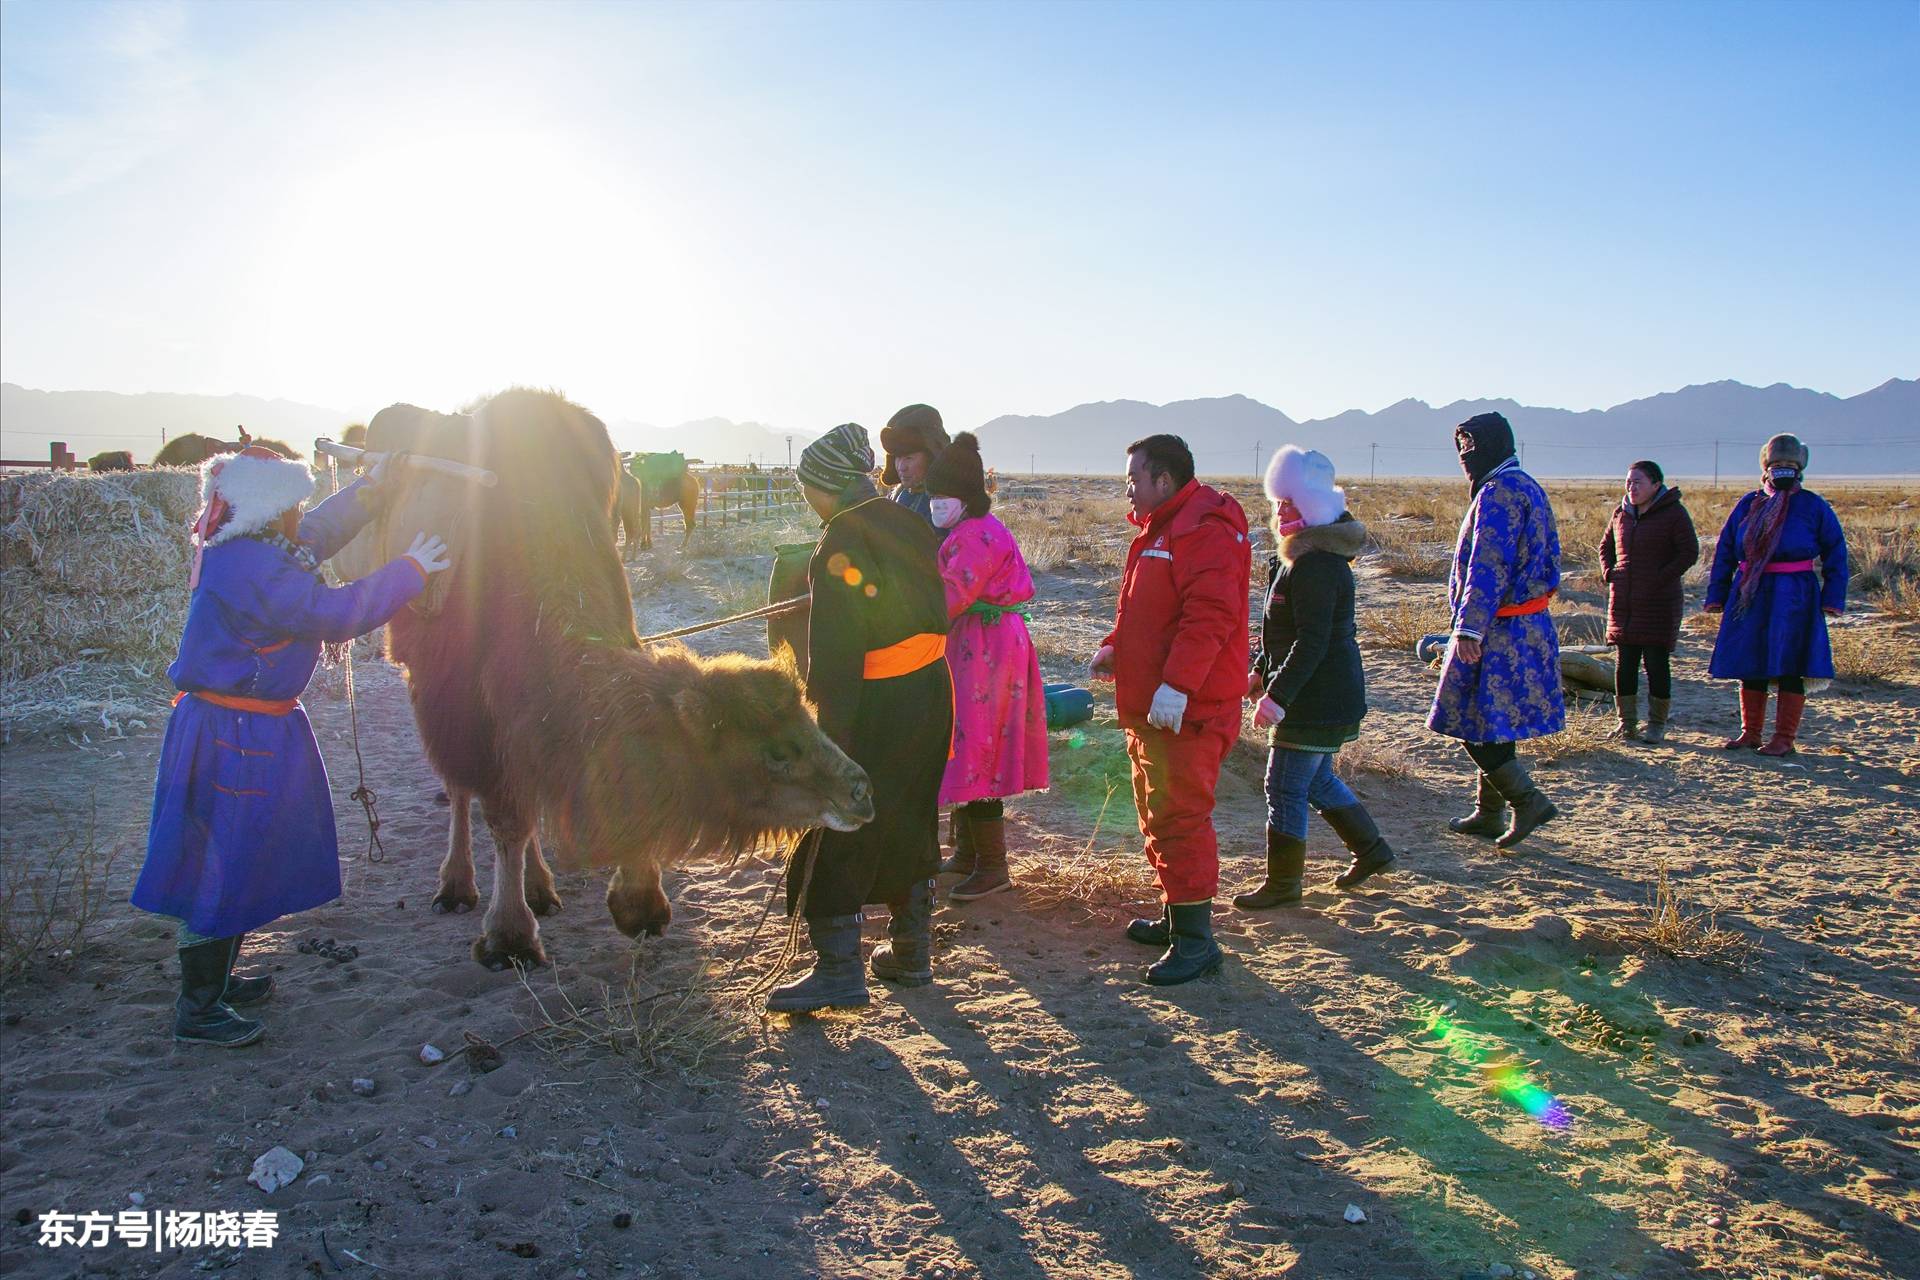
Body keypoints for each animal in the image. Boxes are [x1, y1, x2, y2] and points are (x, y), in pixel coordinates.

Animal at [334, 393, 875, 971]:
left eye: (811, 718)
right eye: (775, 753)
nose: (860, 790)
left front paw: (640, 904)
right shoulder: (474, 706)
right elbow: (505, 818)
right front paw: (508, 937)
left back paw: (541, 890)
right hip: (427, 679)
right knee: (459, 789)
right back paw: (458, 887)